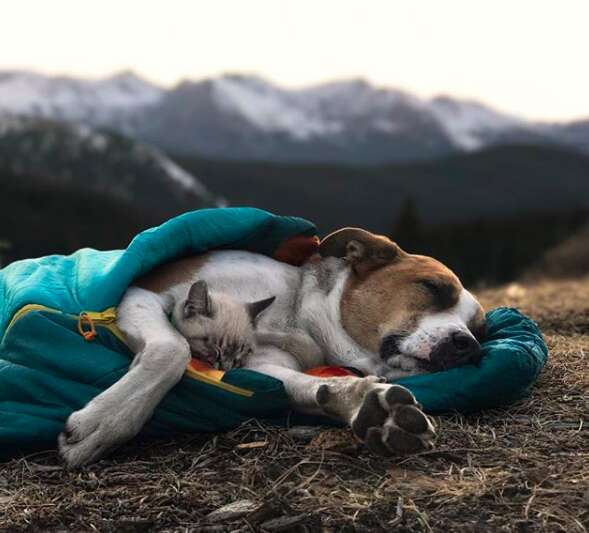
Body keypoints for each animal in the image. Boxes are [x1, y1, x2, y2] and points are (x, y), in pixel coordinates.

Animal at [57, 228, 484, 466]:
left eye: (480, 328)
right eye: (433, 288)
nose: (468, 344)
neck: (295, 315)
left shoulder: (259, 366)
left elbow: (304, 385)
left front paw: (367, 404)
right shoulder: (141, 293)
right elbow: (172, 350)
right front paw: (104, 422)